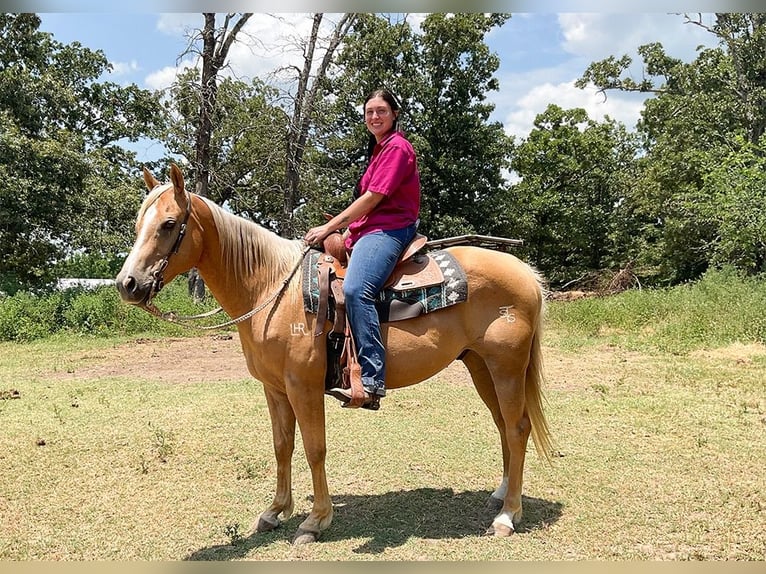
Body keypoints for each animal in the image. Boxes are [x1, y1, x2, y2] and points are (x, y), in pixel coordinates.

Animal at [116, 163, 553, 544]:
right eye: (138, 226)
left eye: (168, 224)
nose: (127, 284)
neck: (272, 288)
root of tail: (526, 273)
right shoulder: (274, 389)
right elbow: (282, 446)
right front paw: (275, 511)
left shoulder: (303, 386)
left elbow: (315, 448)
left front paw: (315, 521)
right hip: (481, 366)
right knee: (503, 425)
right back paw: (501, 495)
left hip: (506, 367)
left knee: (517, 428)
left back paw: (507, 516)